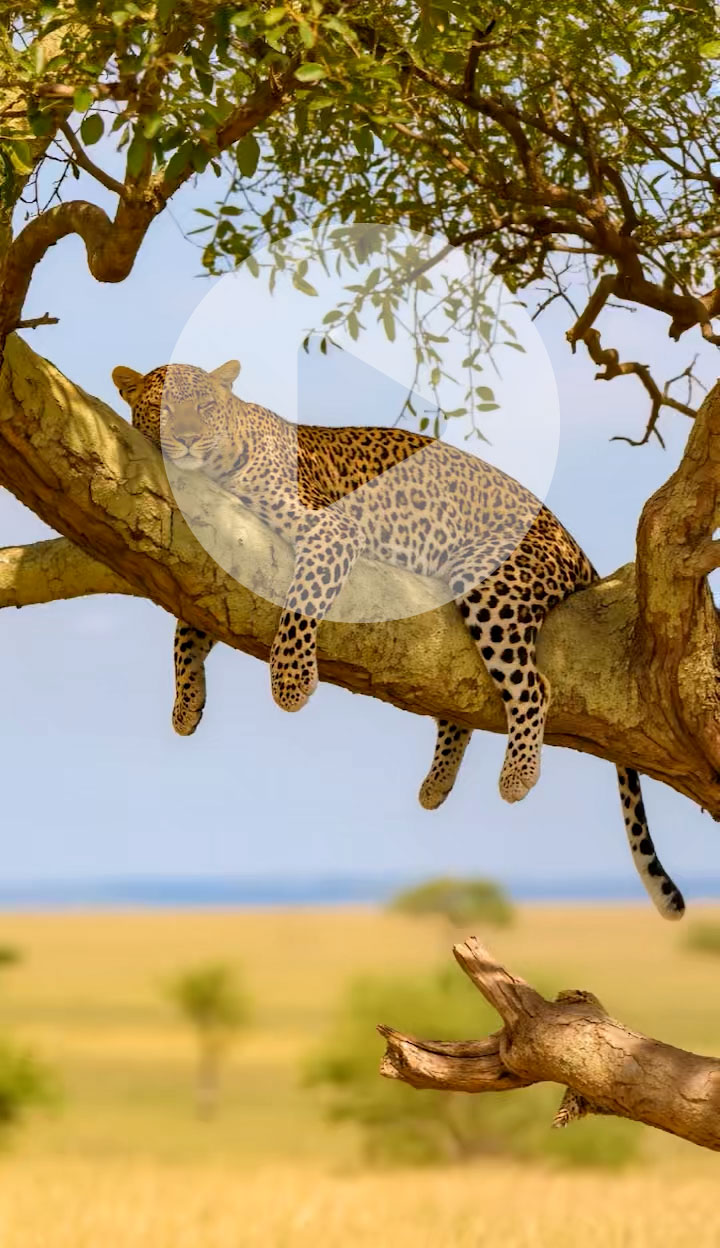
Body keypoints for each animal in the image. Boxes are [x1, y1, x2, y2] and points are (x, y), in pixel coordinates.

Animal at [112, 359, 685, 921]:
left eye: (204, 407)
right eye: (163, 410)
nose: (186, 438)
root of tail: (578, 548)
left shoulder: (330, 530)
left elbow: (302, 598)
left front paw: (290, 681)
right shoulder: (209, 569)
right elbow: (187, 629)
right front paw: (187, 704)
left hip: (491, 581)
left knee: (533, 686)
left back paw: (517, 775)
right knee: (458, 702)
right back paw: (437, 785)